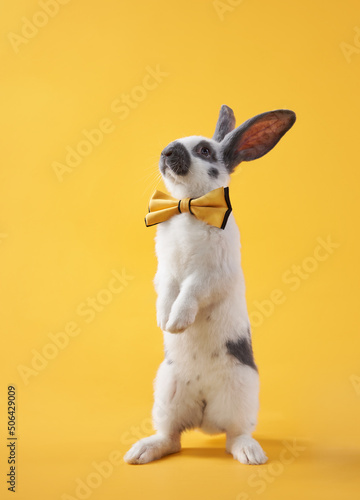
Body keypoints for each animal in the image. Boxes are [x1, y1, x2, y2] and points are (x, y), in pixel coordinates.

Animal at [124, 104, 296, 464]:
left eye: (204, 150)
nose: (167, 152)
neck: (190, 207)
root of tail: (204, 416)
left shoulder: (211, 274)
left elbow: (190, 292)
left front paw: (177, 322)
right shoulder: (165, 271)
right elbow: (167, 291)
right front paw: (164, 320)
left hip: (242, 395)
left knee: (235, 435)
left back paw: (250, 454)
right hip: (166, 394)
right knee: (172, 438)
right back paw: (141, 451)